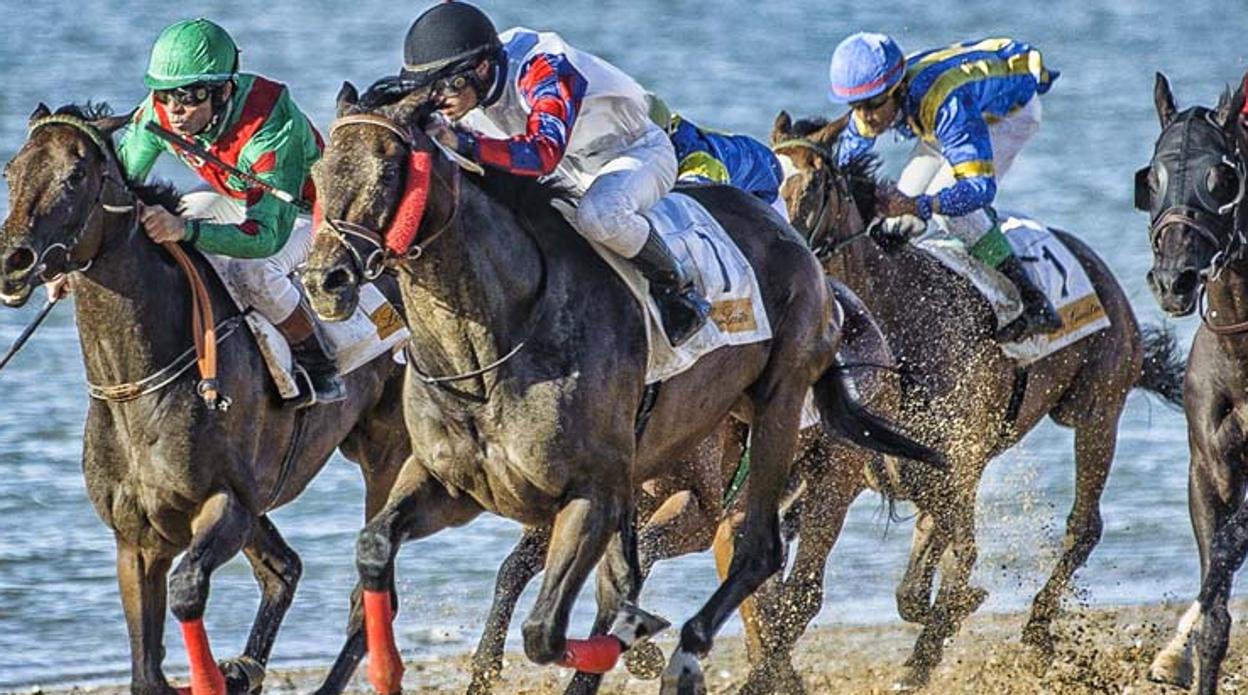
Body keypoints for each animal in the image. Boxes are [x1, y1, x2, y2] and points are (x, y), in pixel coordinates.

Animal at [0, 104, 411, 693]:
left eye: (75, 176)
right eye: (11, 170)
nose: (13, 260)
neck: (139, 386)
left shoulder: (227, 505)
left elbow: (188, 587)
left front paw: (219, 674)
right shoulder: (135, 539)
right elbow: (146, 670)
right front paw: (231, 671)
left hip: (387, 457)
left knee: (369, 594)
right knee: (286, 569)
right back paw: (248, 665)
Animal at [302, 85, 938, 693]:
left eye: (390, 169)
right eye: (320, 169)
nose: (322, 279)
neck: (489, 353)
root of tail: (804, 253)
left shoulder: (599, 494)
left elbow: (548, 630)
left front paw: (638, 638)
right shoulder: (454, 485)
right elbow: (375, 546)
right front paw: (386, 669)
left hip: (786, 416)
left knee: (761, 551)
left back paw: (687, 654)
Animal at [768, 112, 1188, 688]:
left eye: (813, 187)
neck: (898, 321)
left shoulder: (953, 462)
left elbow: (942, 572)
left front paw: (940, 631)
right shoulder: (875, 468)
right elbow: (919, 578)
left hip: (1097, 409)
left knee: (1083, 527)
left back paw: (1037, 630)